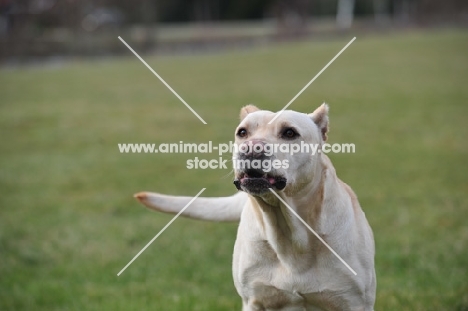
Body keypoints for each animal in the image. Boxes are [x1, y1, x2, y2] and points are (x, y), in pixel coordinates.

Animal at [133, 104, 374, 310]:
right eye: (242, 133)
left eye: (290, 133)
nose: (251, 148)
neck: (289, 236)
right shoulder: (255, 300)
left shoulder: (353, 302)